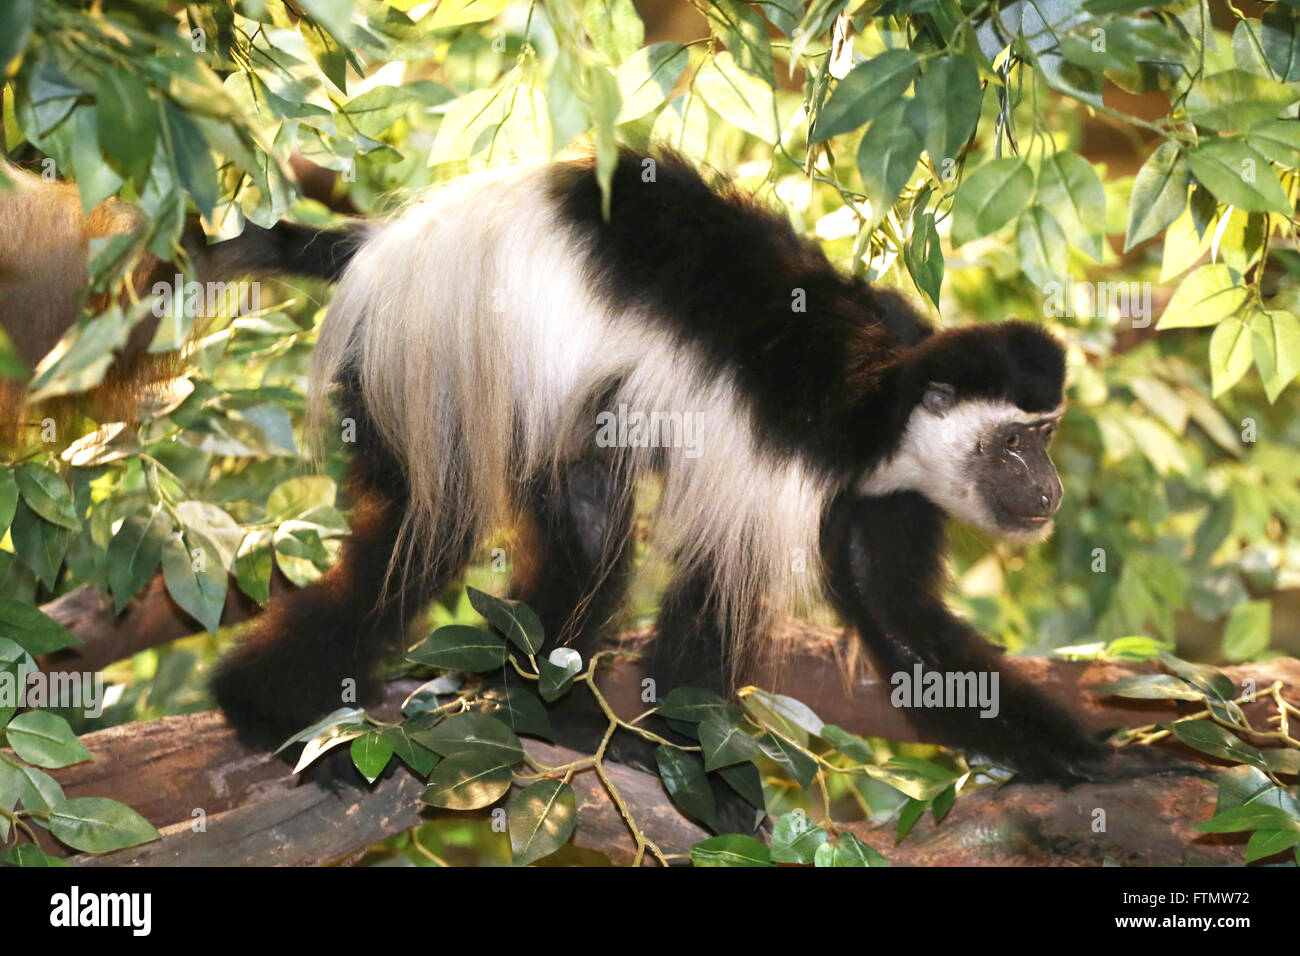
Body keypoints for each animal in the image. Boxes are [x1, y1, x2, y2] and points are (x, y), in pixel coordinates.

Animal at [208, 149, 1123, 816]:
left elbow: (905, 631)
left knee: (584, 526)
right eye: (1015, 443)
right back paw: (265, 708)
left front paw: (1088, 757)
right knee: (428, 531)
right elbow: (707, 622)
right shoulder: (778, 466)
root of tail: (387, 244)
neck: (882, 406)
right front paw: (721, 801)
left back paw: (550, 711)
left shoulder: (885, 495)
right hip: (430, 363)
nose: (1047, 490)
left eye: (1047, 435)